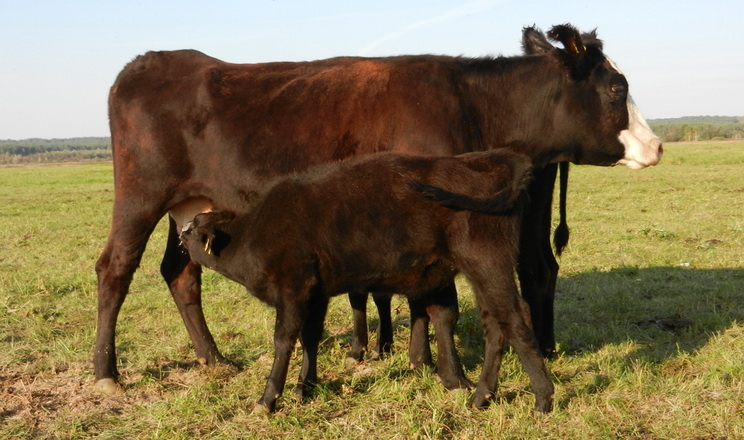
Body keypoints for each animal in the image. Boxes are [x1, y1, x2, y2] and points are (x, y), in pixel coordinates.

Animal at [177, 149, 552, 412]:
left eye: (193, 229)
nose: (180, 235)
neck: (253, 232)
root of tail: (489, 158)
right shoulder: (316, 293)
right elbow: (310, 338)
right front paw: (305, 386)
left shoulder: (293, 289)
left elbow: (284, 341)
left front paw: (268, 399)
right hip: (480, 271)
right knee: (496, 324)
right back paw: (481, 395)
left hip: (488, 264)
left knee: (515, 319)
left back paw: (543, 398)